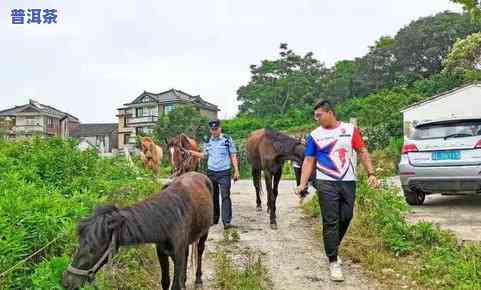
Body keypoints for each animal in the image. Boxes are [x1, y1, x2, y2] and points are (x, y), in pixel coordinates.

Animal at [62, 172, 213, 290]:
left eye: (93, 249)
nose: (67, 282)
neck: (168, 219)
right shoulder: (162, 252)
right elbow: (165, 281)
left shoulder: (178, 253)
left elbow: (175, 285)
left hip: (204, 233)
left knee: (200, 250)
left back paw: (198, 280)